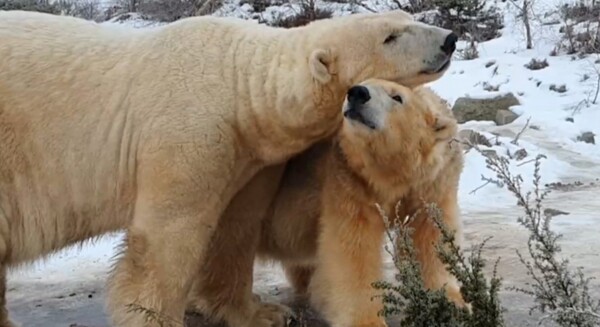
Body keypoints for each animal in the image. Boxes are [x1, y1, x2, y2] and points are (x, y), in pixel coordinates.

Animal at [246, 80, 466, 327]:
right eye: (364, 81)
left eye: (397, 97)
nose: (358, 93)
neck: (390, 176)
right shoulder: (348, 180)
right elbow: (353, 248)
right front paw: (366, 320)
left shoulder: (433, 184)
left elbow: (430, 237)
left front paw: (451, 302)